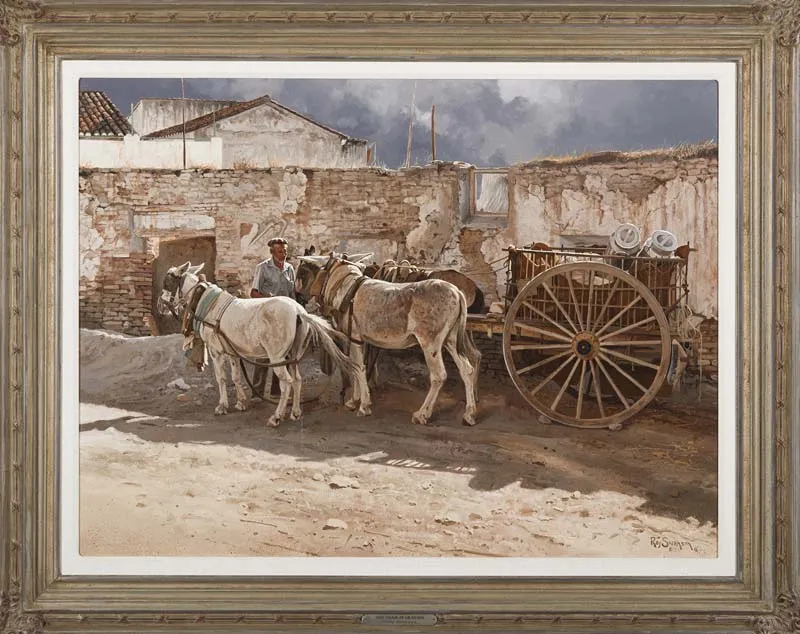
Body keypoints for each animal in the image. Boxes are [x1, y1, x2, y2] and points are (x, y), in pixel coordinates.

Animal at [157, 262, 358, 428]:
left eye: (167, 281)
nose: (159, 305)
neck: (209, 305)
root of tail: (298, 311)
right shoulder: (232, 352)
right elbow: (236, 377)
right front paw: (241, 403)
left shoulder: (216, 351)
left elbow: (221, 378)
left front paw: (222, 406)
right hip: (292, 355)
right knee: (297, 380)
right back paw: (295, 412)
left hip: (277, 357)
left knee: (287, 382)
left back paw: (276, 417)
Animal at [294, 254, 482, 426]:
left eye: (302, 272)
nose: (298, 300)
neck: (346, 289)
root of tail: (457, 292)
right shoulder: (361, 340)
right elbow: (357, 367)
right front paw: (354, 401)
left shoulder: (354, 338)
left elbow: (358, 368)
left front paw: (364, 406)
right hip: (451, 340)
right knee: (467, 369)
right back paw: (469, 414)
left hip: (430, 343)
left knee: (439, 376)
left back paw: (422, 414)